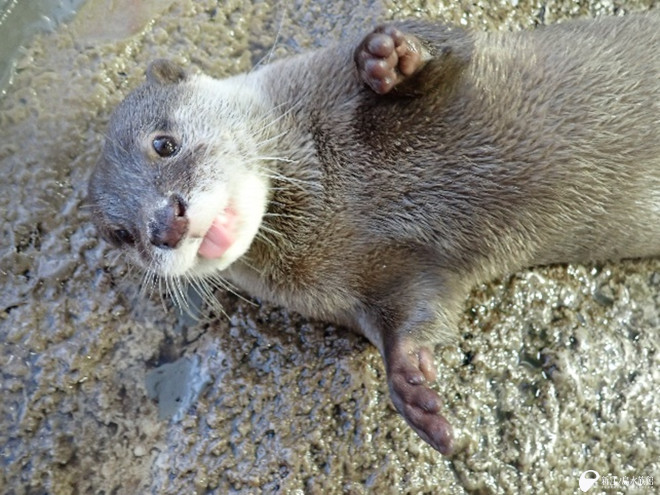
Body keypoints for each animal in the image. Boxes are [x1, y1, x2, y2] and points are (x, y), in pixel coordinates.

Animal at [87, 13, 660, 456]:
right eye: (122, 234)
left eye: (163, 143)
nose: (164, 225)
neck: (337, 189)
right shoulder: (380, 285)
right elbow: (413, 316)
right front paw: (414, 392)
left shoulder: (357, 67)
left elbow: (449, 48)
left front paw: (391, 56)